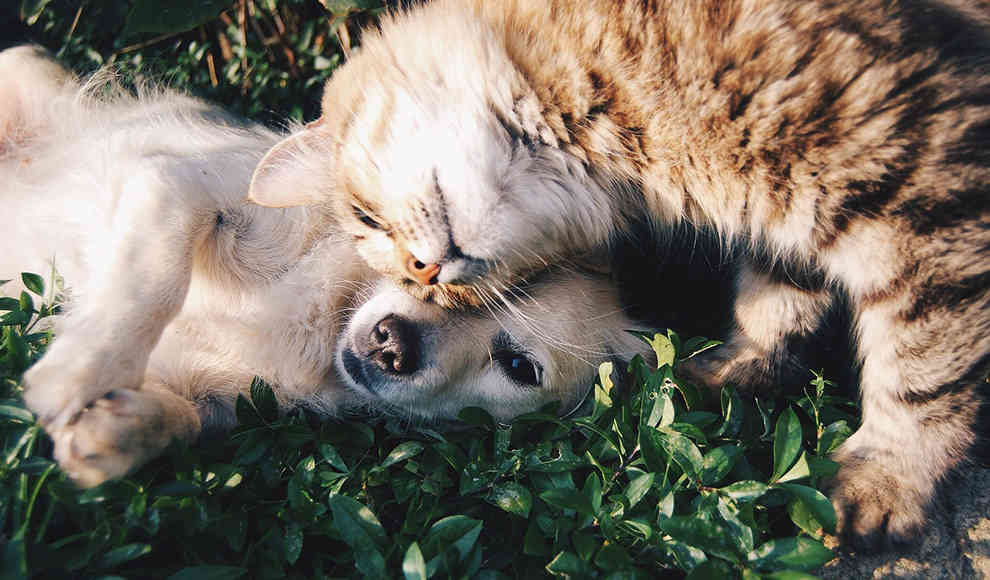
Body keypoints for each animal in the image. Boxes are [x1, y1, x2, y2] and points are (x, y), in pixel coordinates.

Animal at [3, 45, 656, 488]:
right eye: (421, 267)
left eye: (519, 366)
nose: (393, 344)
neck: (324, 321)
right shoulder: (177, 185)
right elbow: (152, 280)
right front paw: (80, 370)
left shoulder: (216, 399)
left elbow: (183, 422)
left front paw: (114, 431)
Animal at [246, 0, 990, 548]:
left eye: (366, 218)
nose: (427, 273)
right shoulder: (791, 220)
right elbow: (775, 304)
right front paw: (736, 369)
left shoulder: (924, 190)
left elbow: (923, 370)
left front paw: (889, 480)